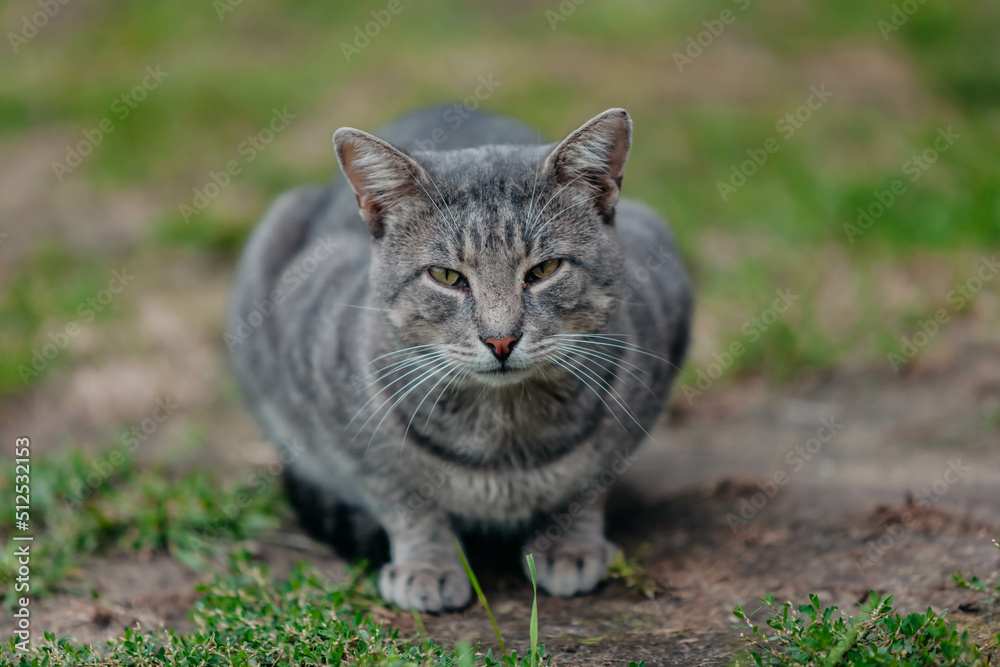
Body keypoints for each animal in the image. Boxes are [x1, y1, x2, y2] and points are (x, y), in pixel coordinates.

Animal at [228, 107, 692, 612]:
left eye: (544, 270)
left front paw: (570, 546)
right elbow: (405, 500)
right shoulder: (346, 423)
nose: (501, 339)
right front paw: (427, 566)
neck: (505, 439)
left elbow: (586, 486)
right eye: (446, 276)